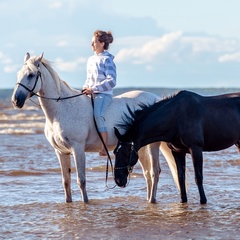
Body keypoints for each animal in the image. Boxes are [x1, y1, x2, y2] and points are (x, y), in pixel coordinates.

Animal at [12, 53, 179, 203]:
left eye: (31, 75)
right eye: (18, 74)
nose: (15, 101)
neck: (62, 109)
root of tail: (156, 99)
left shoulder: (77, 149)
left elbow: (81, 180)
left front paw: (86, 203)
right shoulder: (61, 152)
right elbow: (66, 182)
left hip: (153, 145)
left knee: (155, 172)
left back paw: (152, 200)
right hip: (140, 147)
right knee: (147, 173)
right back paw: (148, 200)